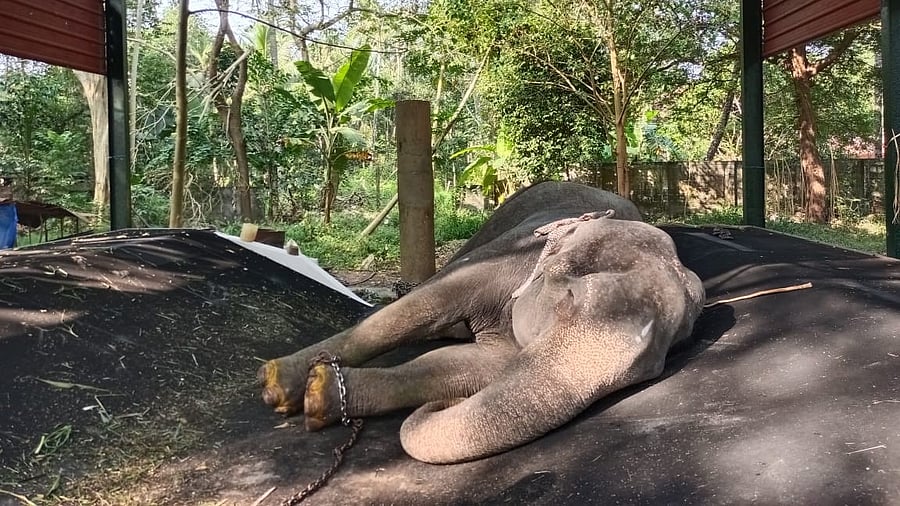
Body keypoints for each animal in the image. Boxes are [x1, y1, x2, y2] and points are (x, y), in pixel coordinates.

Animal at [257, 181, 705, 464]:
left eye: (650, 368)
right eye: (570, 299)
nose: (445, 405)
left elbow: (473, 366)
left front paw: (319, 396)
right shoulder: (507, 254)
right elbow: (427, 306)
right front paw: (279, 384)